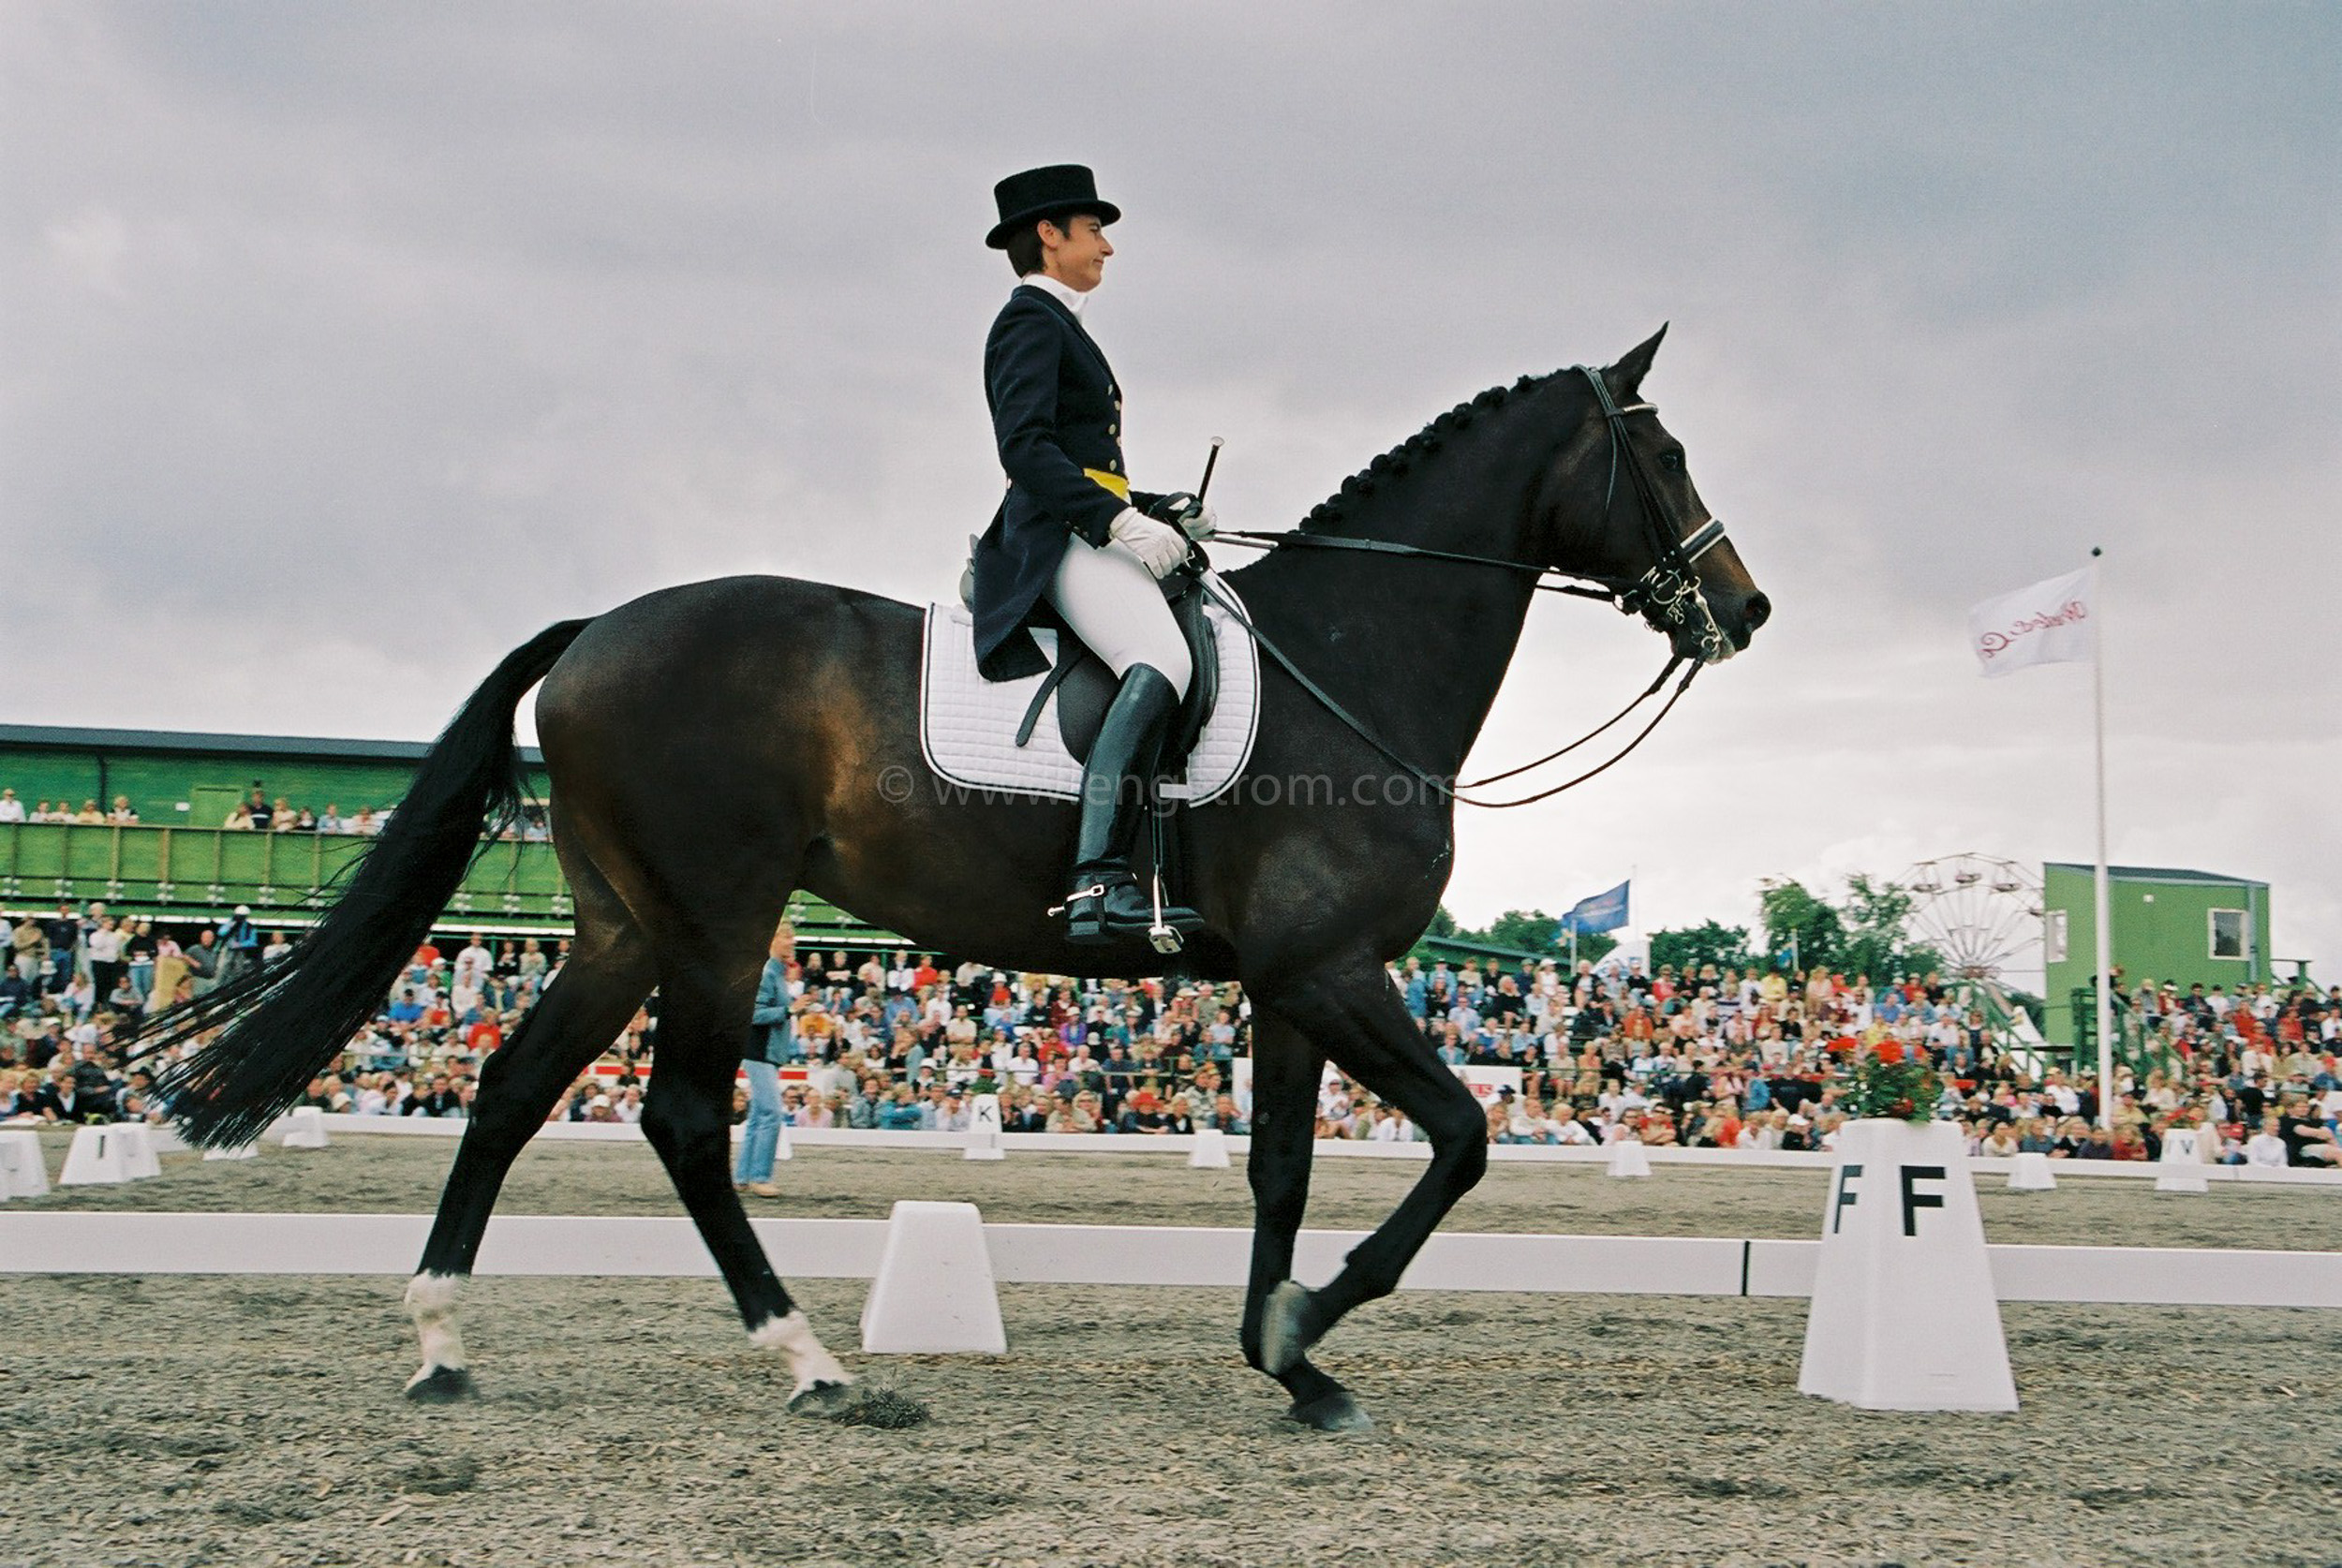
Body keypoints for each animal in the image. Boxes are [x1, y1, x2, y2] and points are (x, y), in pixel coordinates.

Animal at [141, 332, 1761, 1442]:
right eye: (1666, 454)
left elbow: (1286, 1170)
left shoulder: (1293, 980)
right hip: (718, 921)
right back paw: (811, 1364)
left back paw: (442, 1342)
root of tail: (596, 629)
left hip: (622, 923)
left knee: (512, 1091)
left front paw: (1291, 1361)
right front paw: (1312, 1323)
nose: (1742, 609)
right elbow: (1464, 1139)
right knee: (679, 1120)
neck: (1352, 663)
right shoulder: (1334, 971)